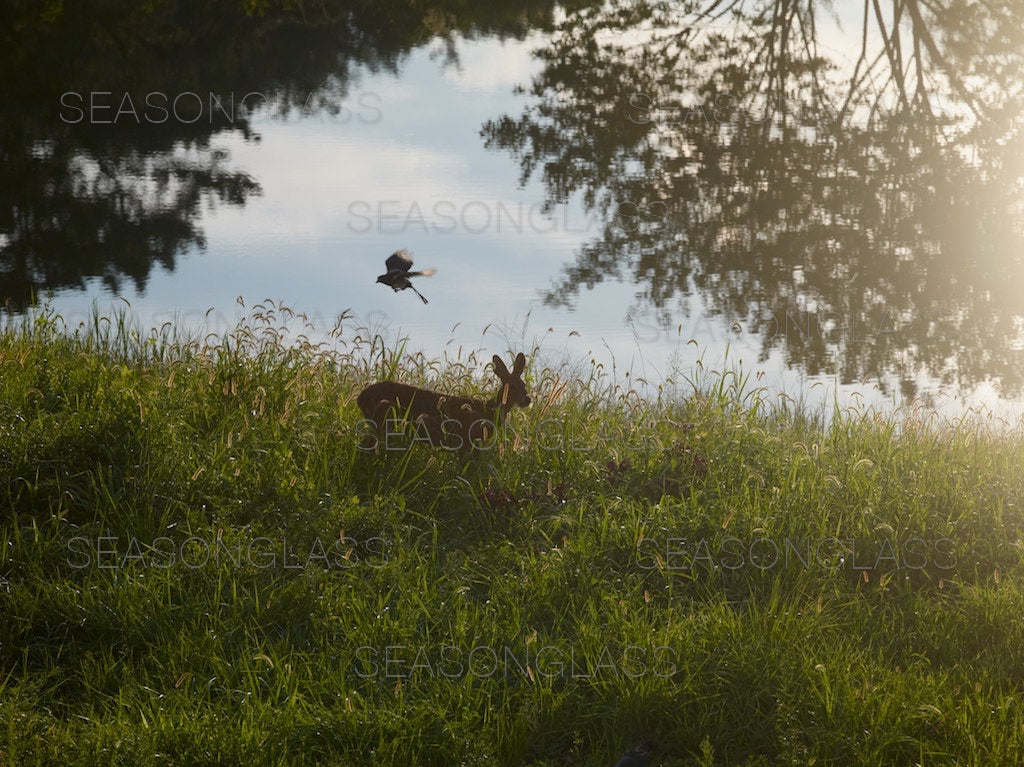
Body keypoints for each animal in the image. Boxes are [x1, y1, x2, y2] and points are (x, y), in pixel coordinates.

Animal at [356, 354, 532, 454]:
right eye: (512, 386)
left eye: (524, 384)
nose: (527, 399)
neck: (487, 410)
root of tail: (360, 397)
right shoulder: (466, 440)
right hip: (385, 420)